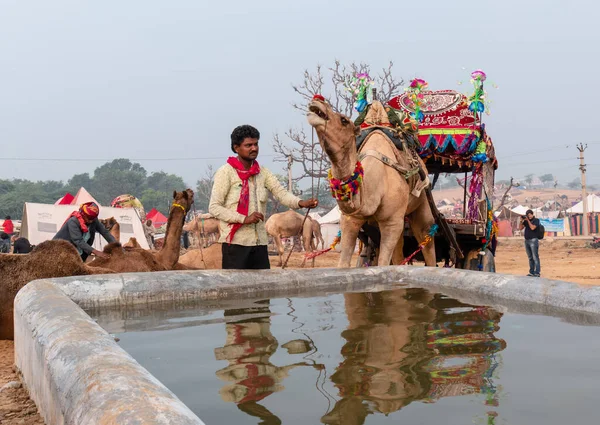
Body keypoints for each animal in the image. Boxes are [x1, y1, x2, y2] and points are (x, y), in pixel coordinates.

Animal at [310, 97, 436, 266]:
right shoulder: (351, 219)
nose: (317, 101)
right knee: (398, 250)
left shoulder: (391, 221)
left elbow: (383, 263)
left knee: (425, 235)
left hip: (422, 203)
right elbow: (344, 263)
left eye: (344, 120)